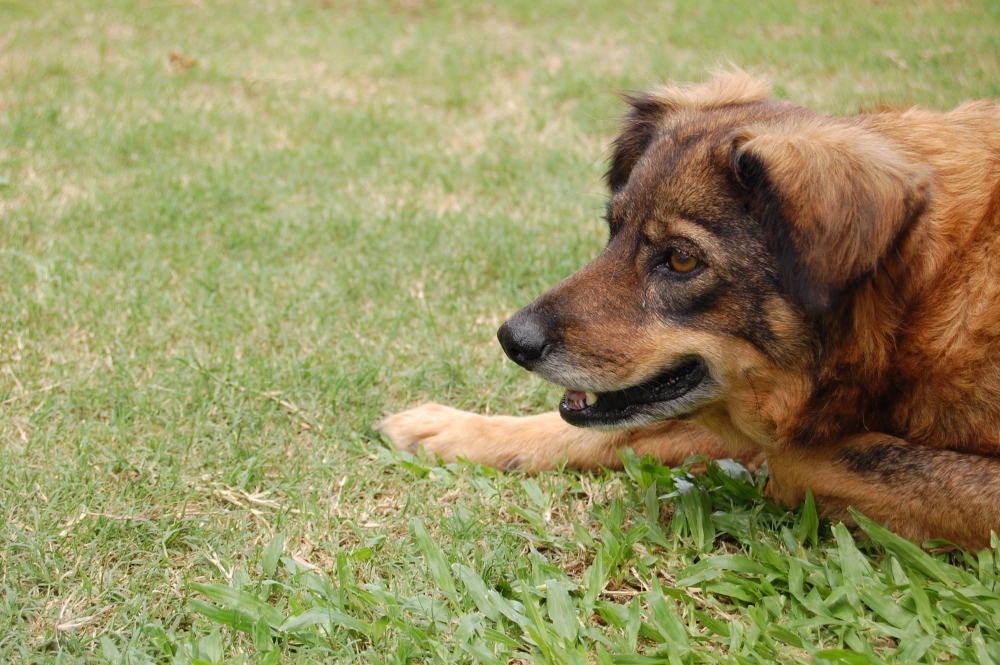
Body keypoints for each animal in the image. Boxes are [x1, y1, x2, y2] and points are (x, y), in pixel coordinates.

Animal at [378, 71, 1000, 548]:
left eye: (680, 259)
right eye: (613, 230)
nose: (512, 339)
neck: (916, 310)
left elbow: (820, 459)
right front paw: (458, 429)